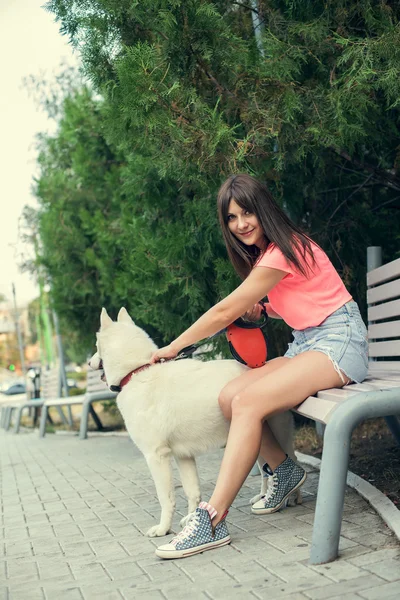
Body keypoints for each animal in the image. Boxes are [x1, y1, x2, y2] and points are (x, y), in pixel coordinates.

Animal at [90, 308, 296, 536]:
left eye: (96, 347)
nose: (88, 362)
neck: (137, 371)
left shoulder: (156, 457)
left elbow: (166, 498)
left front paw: (163, 529)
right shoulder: (183, 456)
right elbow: (192, 492)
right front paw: (190, 519)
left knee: (289, 461)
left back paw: (290, 497)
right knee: (267, 471)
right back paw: (264, 496)